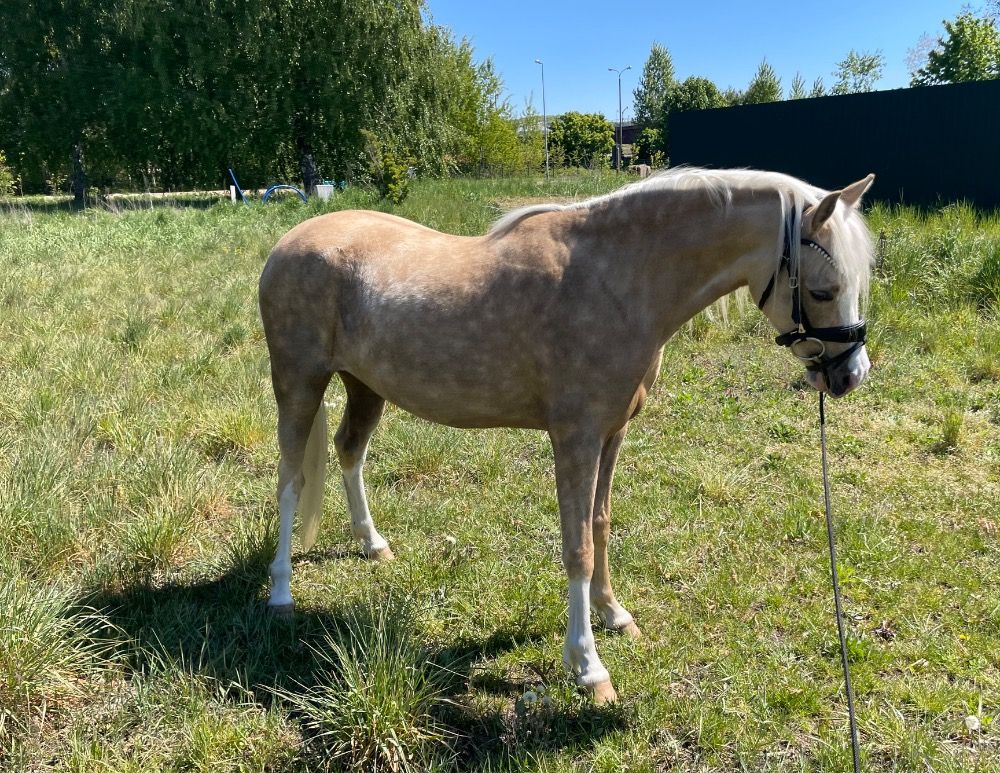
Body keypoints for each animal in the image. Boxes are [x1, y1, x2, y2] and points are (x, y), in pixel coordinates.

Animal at [257, 167, 876, 703]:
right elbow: (576, 546)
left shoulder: (611, 434)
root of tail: (288, 243)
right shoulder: (574, 438)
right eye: (824, 290)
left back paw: (372, 544)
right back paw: (281, 593)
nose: (850, 375)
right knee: (290, 479)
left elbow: (599, 524)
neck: (616, 279)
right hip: (299, 383)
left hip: (365, 386)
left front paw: (614, 614)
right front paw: (588, 667)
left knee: (349, 452)